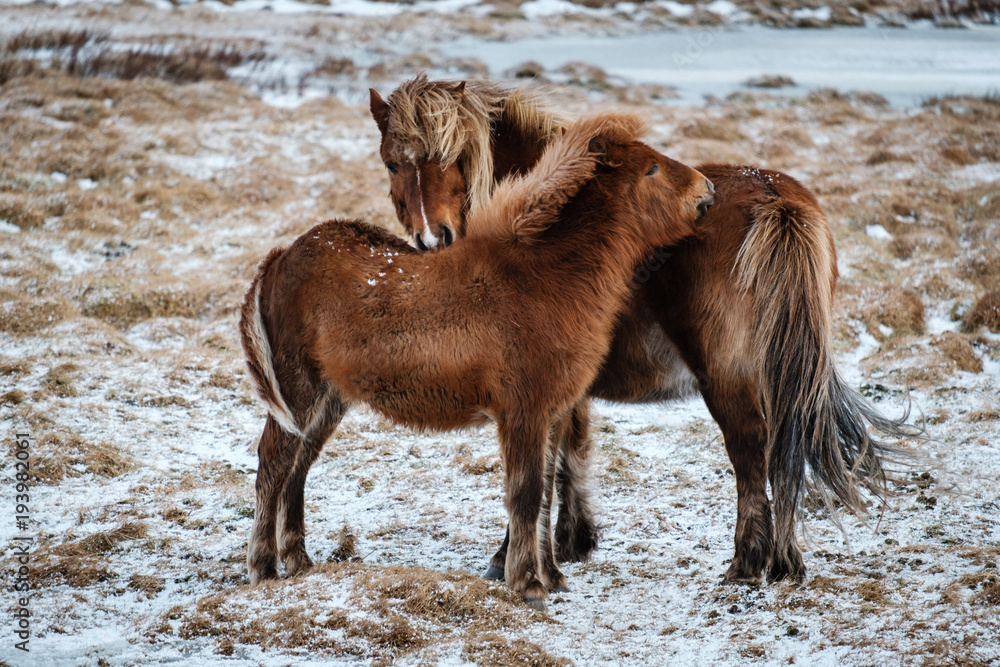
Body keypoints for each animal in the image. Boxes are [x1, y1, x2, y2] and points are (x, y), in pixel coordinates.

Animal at [240, 112, 715, 611]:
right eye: (652, 169)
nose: (708, 190)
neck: (546, 277)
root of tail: (281, 257)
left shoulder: (553, 413)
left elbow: (546, 492)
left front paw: (552, 575)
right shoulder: (523, 411)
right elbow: (526, 493)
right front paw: (527, 584)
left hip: (329, 398)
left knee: (299, 465)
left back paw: (298, 561)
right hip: (298, 389)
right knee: (274, 462)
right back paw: (263, 568)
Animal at [369, 75, 920, 585]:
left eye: (451, 156)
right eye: (393, 164)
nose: (431, 238)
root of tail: (774, 199)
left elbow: (538, 469)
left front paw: (512, 558)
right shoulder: (565, 385)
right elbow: (571, 454)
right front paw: (573, 541)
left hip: (726, 379)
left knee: (750, 451)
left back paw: (747, 564)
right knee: (787, 447)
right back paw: (786, 564)